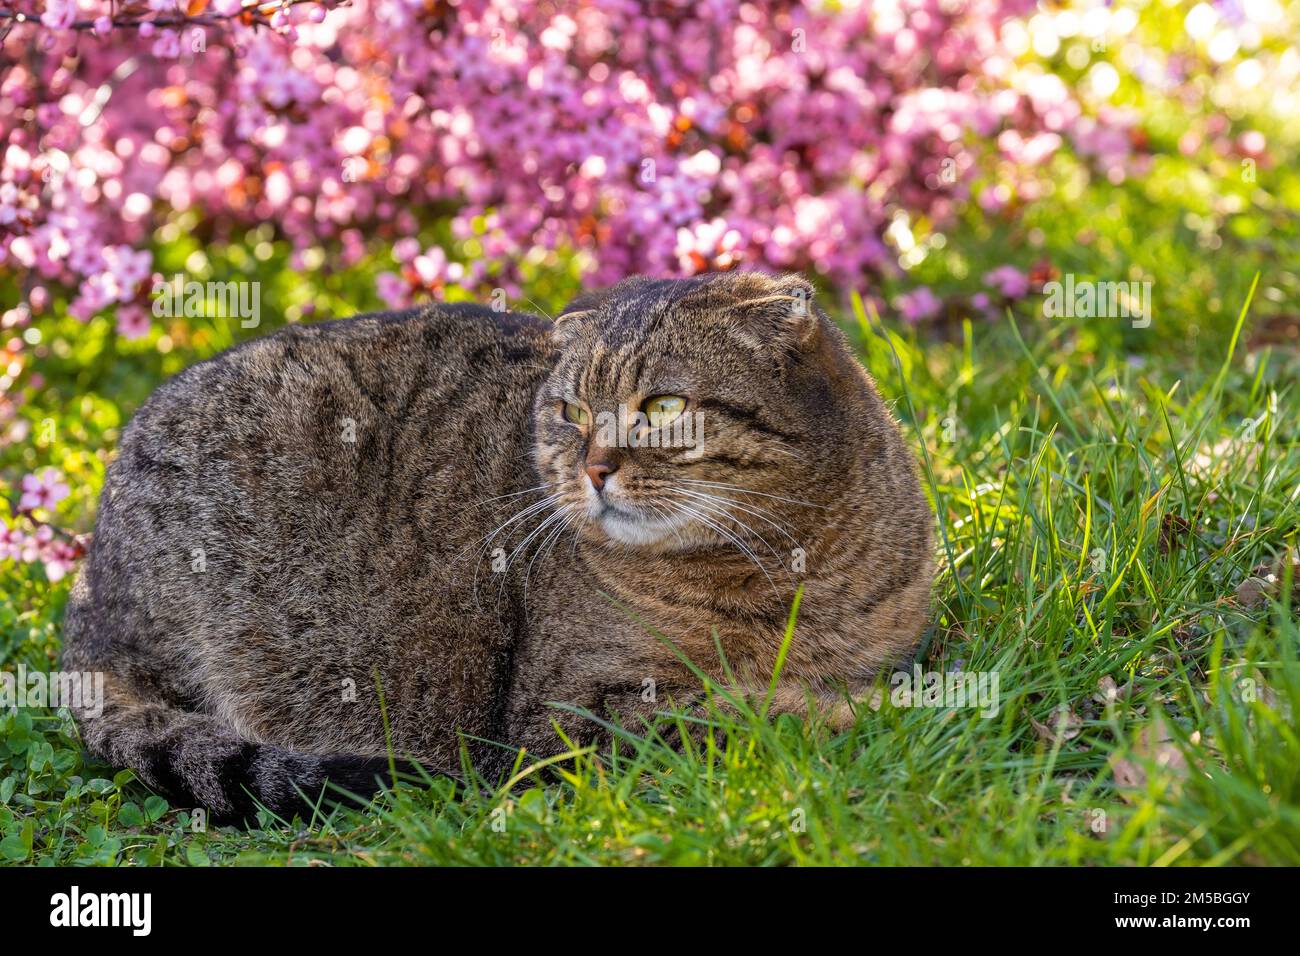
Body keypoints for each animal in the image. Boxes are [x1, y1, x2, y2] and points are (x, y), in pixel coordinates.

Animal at [61, 270, 935, 822]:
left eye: (664, 407)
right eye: (570, 412)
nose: (594, 467)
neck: (779, 567)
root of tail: (86, 597)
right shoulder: (575, 710)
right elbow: (754, 714)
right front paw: (874, 713)